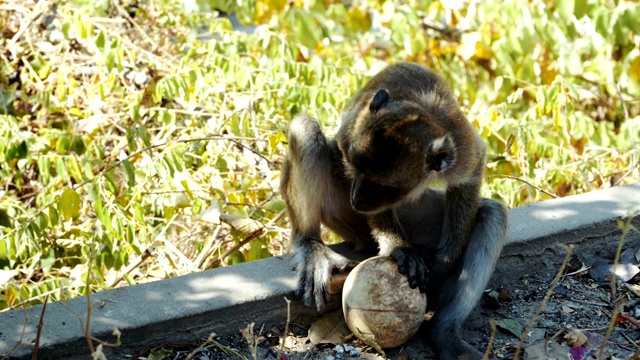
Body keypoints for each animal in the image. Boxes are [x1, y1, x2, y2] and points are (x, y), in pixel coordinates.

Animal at [280, 63, 510, 358]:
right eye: (357, 167)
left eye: (384, 186)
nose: (357, 199)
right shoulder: (355, 130)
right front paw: (400, 248)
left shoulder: (460, 145)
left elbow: (472, 171)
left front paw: (445, 262)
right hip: (344, 216)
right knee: (306, 129)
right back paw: (311, 245)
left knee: (492, 214)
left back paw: (444, 330)